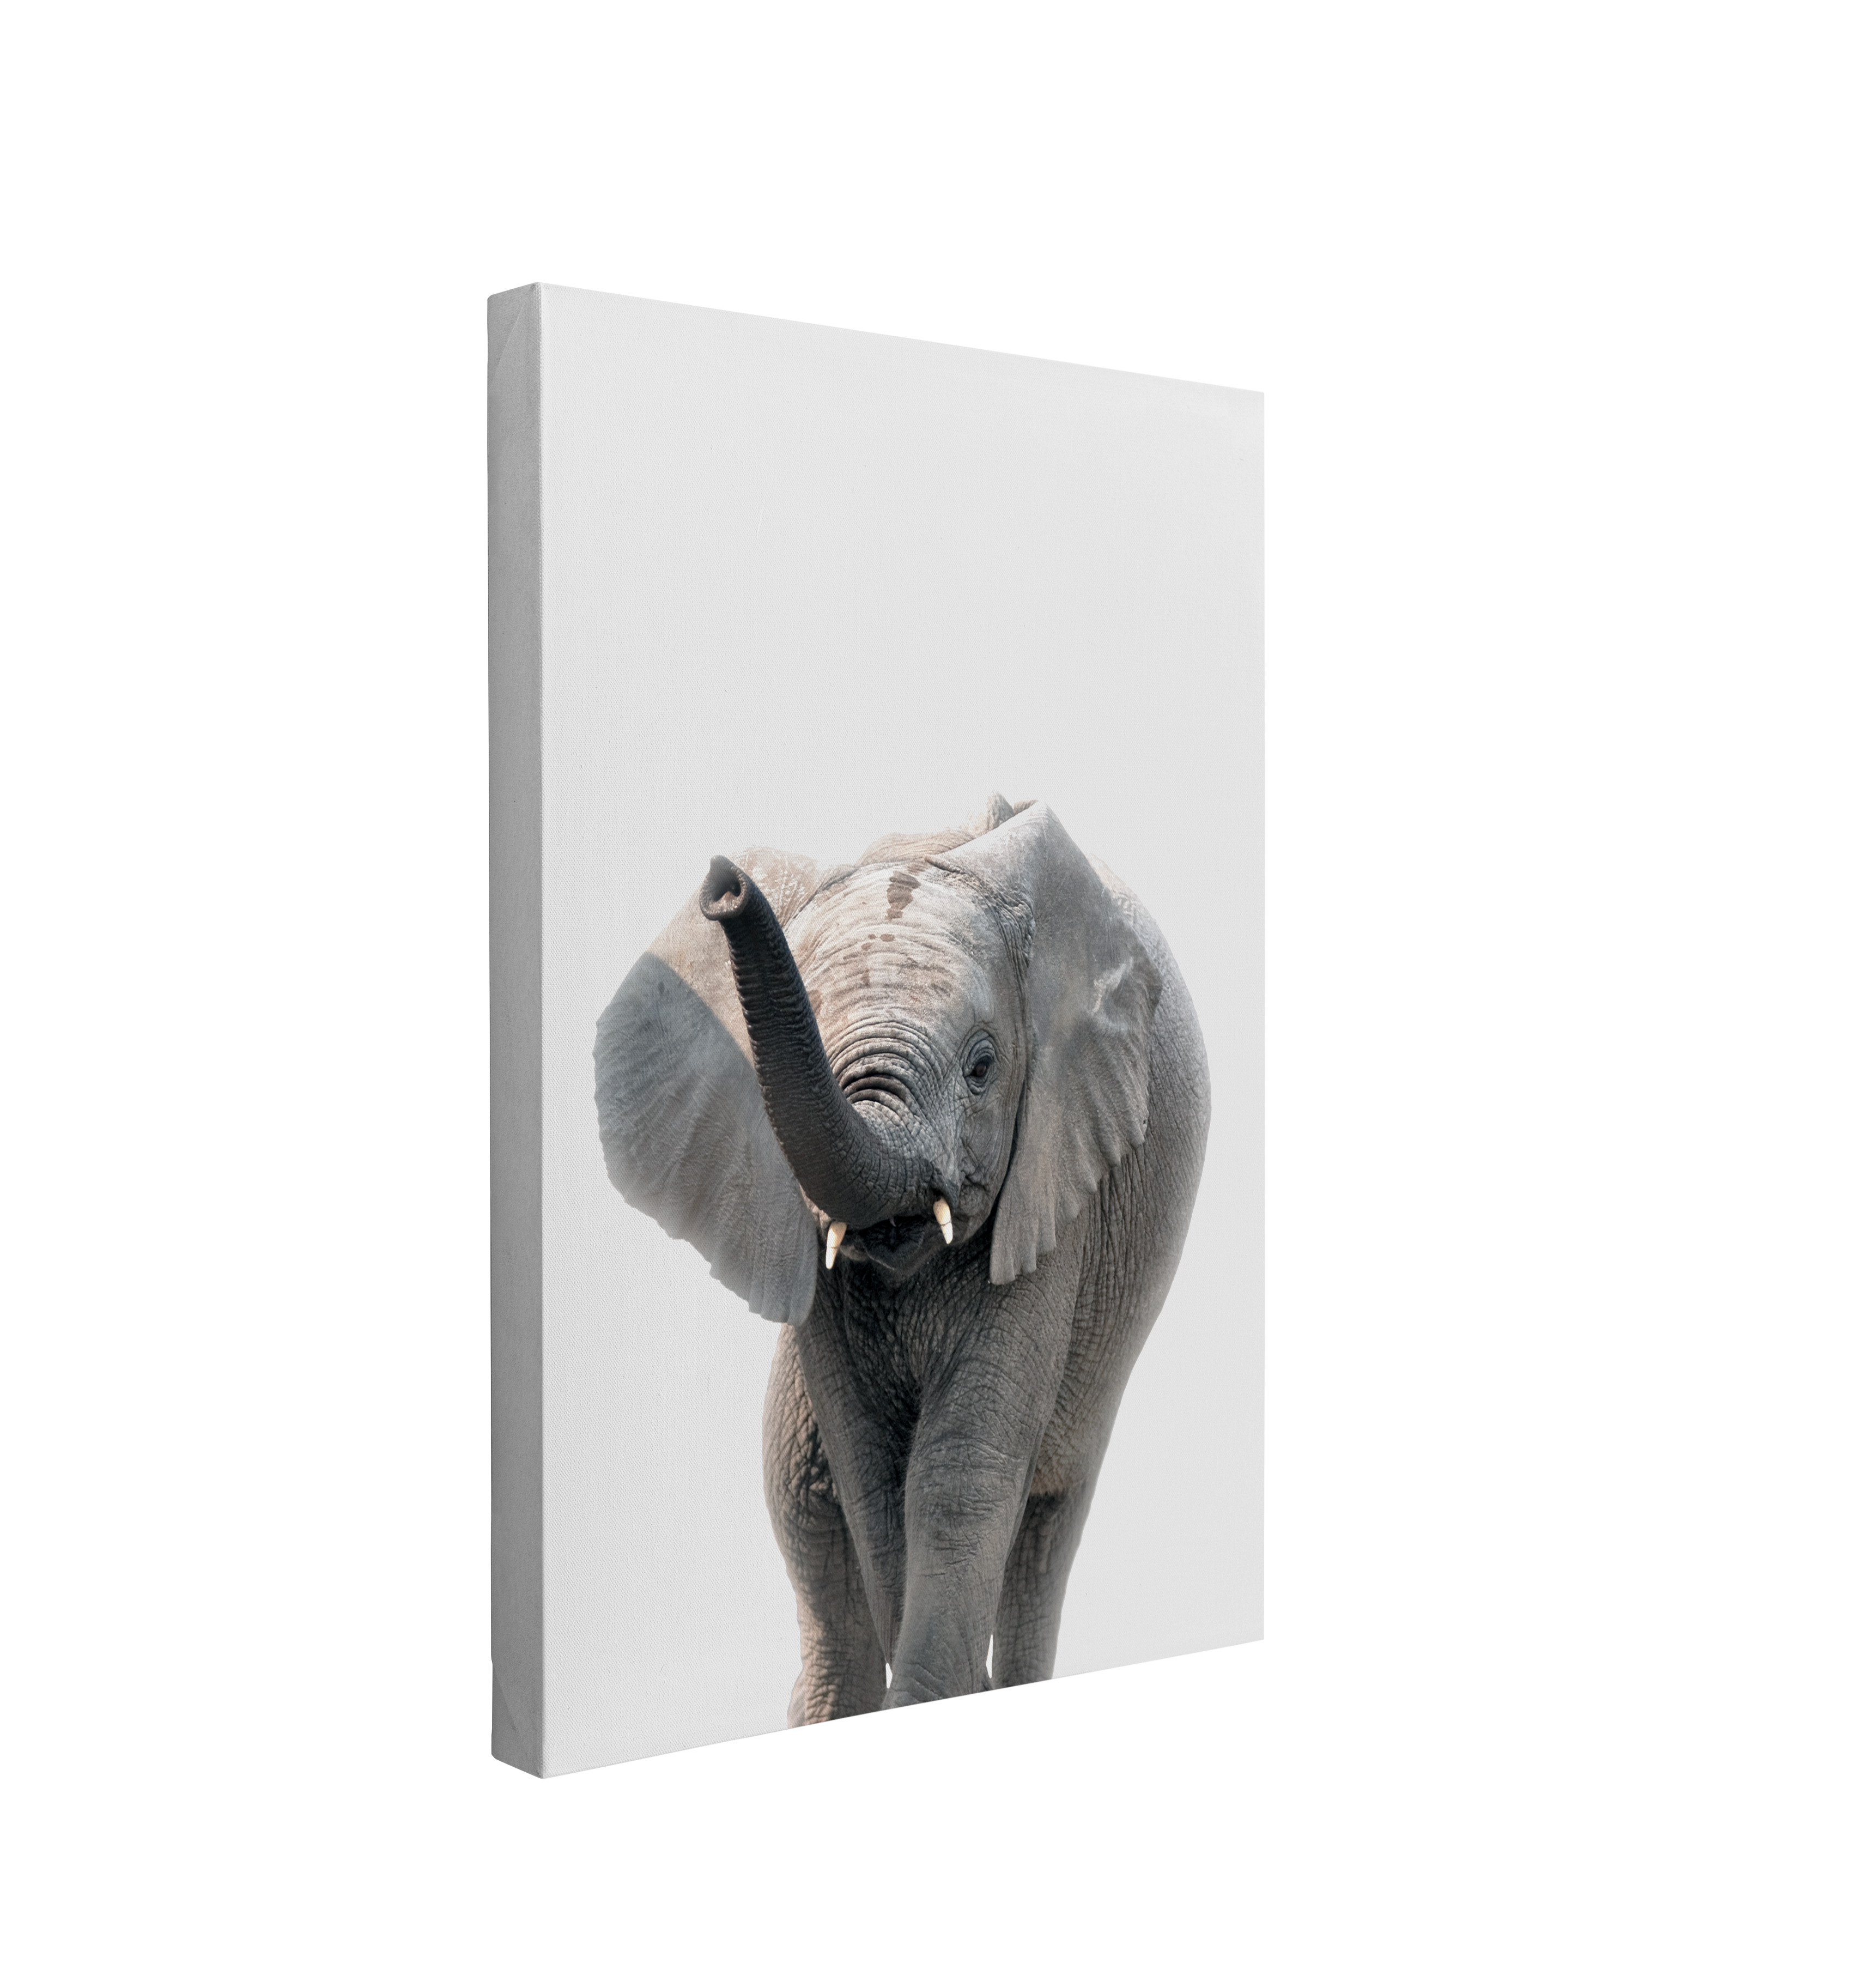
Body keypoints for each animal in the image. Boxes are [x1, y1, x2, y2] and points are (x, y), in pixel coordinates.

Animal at [593, 793, 1209, 1722]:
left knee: (1048, 1517)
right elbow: (873, 1475)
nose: (725, 884)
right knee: (803, 1496)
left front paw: (948, 1700)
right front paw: (932, 1705)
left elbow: (957, 1468)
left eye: (984, 1067)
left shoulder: (1056, 1176)